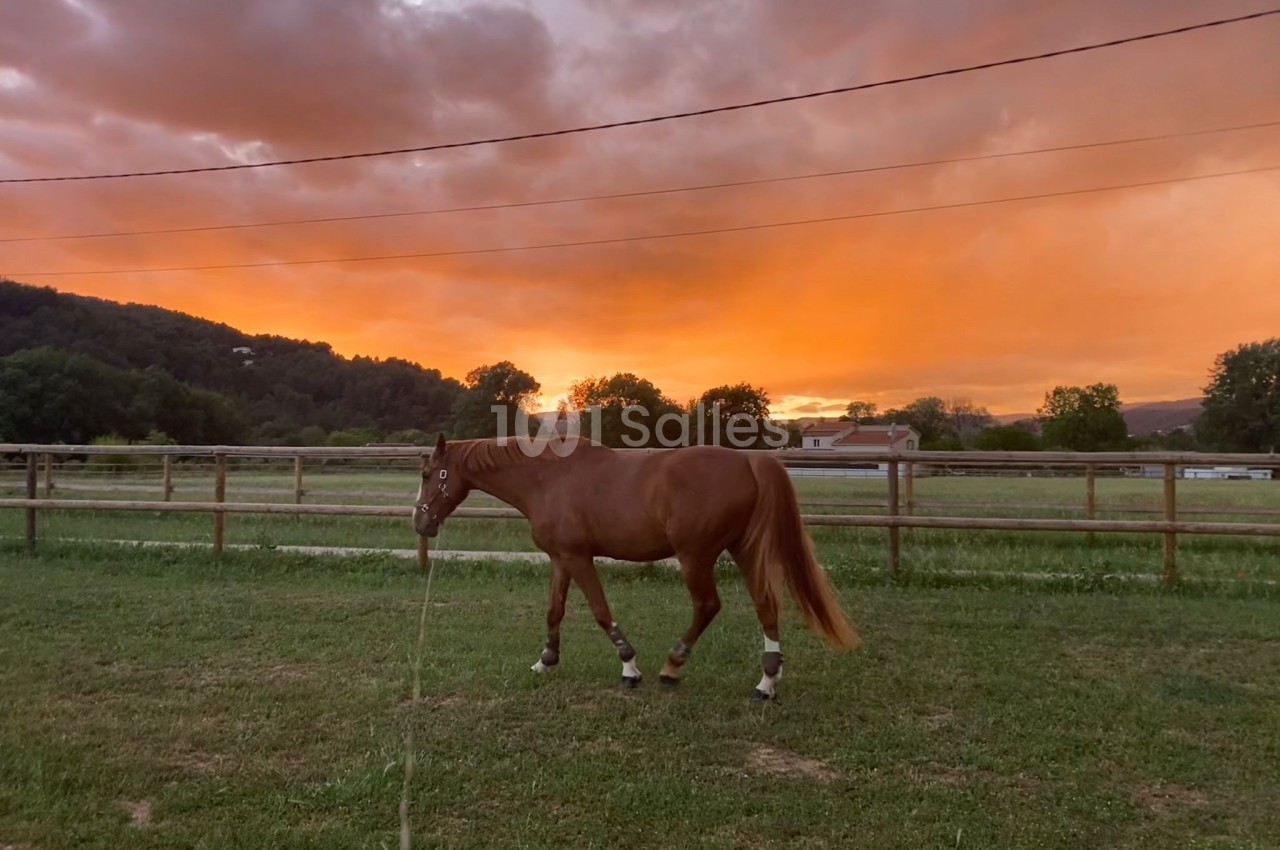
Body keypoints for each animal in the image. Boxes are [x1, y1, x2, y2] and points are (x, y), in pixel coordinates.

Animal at [413, 434, 859, 700]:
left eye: (427, 473)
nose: (420, 522)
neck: (548, 478)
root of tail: (749, 463)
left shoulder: (578, 557)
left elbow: (599, 610)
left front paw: (629, 667)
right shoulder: (560, 558)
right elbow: (554, 610)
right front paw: (545, 660)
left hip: (695, 557)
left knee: (708, 606)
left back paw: (673, 666)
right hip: (744, 551)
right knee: (766, 605)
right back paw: (767, 681)